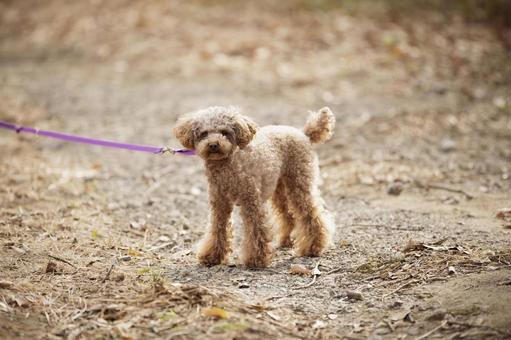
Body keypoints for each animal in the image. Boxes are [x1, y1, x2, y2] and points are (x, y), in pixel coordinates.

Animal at [174, 106, 336, 268]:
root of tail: (304, 133)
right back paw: (286, 241)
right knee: (288, 215)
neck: (228, 164)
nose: (213, 145)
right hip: (279, 188)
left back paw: (312, 247)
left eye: (225, 132)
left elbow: (255, 229)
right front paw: (212, 256)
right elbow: (217, 228)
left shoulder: (251, 200)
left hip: (299, 183)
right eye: (204, 133)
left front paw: (256, 259)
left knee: (311, 215)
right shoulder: (219, 203)